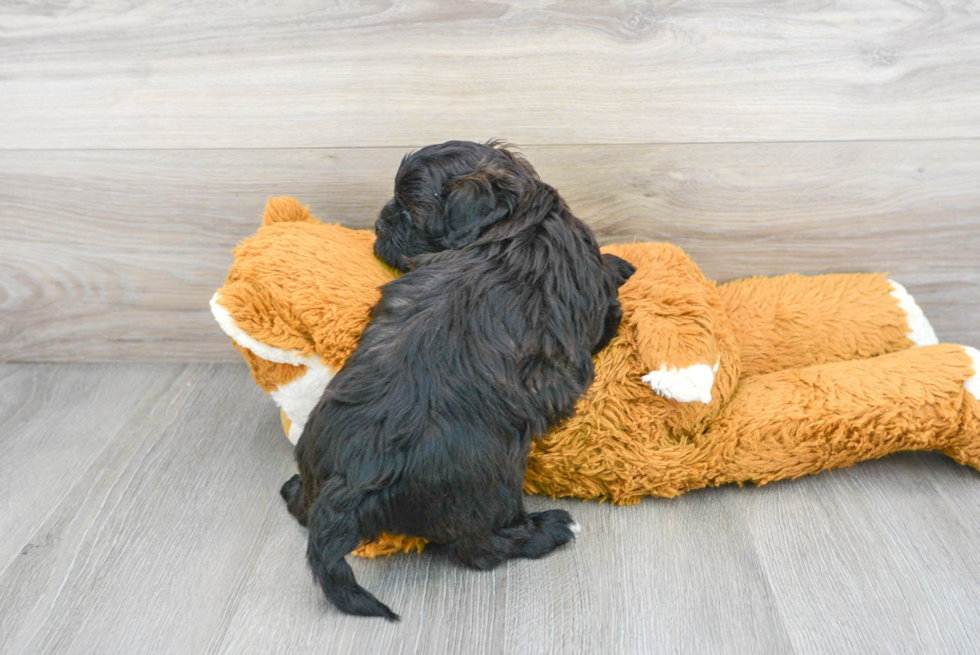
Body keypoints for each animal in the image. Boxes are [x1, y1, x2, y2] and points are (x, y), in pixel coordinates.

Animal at [284, 142, 636, 620]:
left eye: (408, 210)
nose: (379, 223)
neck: (520, 218)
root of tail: (357, 475)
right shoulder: (599, 310)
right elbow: (610, 303)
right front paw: (619, 264)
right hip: (488, 488)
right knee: (483, 548)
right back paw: (550, 529)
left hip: (315, 457)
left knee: (303, 504)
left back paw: (293, 490)